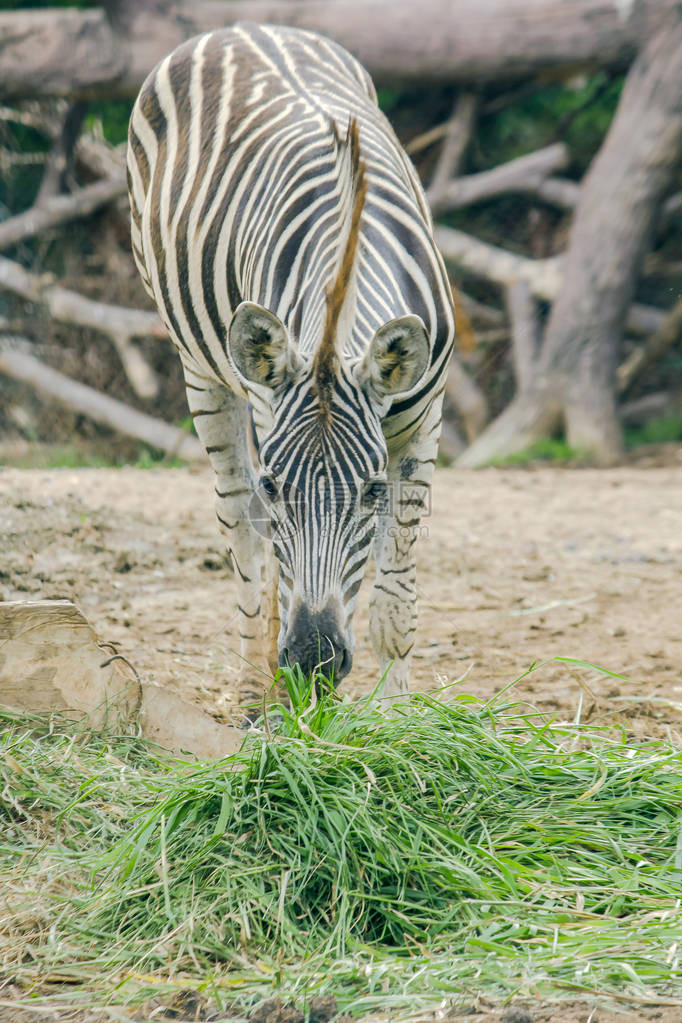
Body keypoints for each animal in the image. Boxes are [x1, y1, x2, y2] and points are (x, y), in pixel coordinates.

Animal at [126, 24, 458, 712]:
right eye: (278, 486)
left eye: (373, 490)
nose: (313, 660)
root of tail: (240, 28)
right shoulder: (265, 408)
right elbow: (274, 558)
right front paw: (300, 714)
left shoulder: (426, 418)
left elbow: (394, 598)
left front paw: (396, 719)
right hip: (201, 368)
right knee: (240, 528)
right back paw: (258, 692)